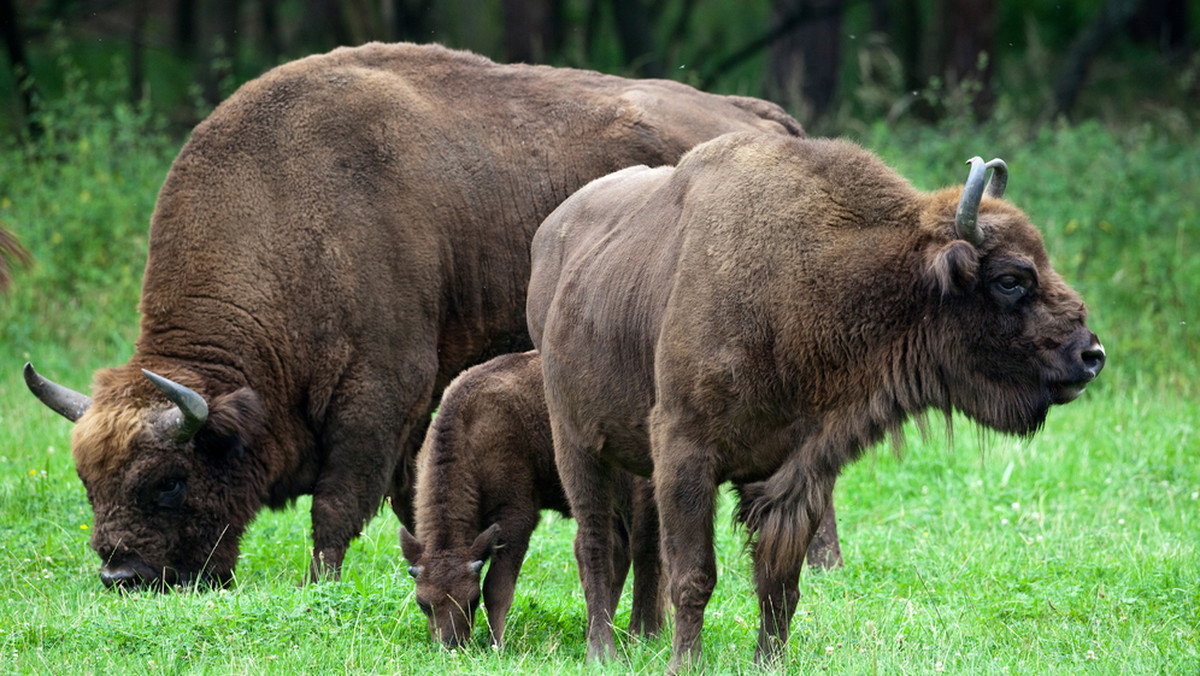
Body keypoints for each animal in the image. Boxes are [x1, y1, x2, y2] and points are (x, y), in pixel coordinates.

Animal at [21, 43, 806, 593]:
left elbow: (337, 505)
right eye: (88, 483)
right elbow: (409, 493)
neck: (290, 210)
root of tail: (763, 118)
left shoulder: (380, 393)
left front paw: (319, 588)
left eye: (169, 481)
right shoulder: (416, 410)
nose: (122, 577)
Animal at [528, 133, 1104, 672]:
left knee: (638, 542)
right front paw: (684, 664)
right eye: (1010, 279)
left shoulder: (799, 471)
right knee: (594, 543)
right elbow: (696, 575)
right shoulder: (685, 453)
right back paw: (601, 651)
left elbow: (779, 584)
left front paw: (769, 662)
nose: (1090, 355)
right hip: (575, 443)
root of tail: (550, 235)